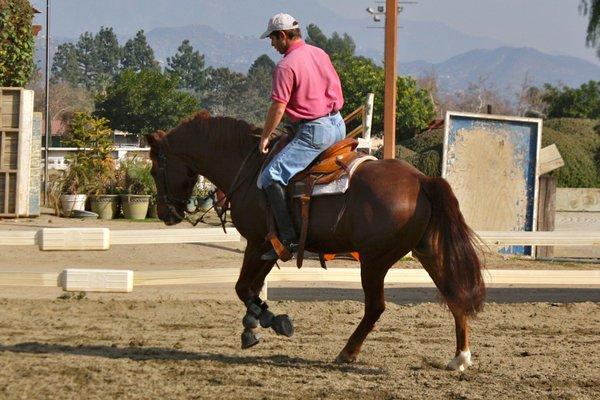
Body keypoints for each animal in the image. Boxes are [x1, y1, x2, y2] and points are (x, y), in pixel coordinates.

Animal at [148, 111, 486, 370]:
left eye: (153, 168)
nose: (166, 213)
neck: (249, 171)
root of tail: (422, 180)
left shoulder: (257, 244)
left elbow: (242, 287)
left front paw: (272, 321)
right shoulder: (271, 248)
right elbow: (251, 289)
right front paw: (253, 324)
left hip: (374, 261)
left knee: (375, 307)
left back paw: (347, 352)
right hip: (428, 252)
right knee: (454, 296)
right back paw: (460, 357)